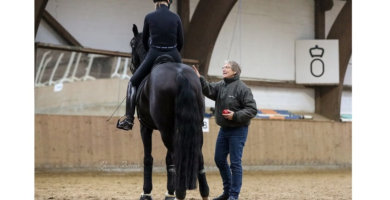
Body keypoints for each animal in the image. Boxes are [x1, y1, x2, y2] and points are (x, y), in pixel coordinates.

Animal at [128, 24, 209, 199]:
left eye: (132, 44)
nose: (132, 67)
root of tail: (180, 75)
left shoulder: (145, 127)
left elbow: (148, 158)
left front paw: (147, 192)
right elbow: (168, 159)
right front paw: (169, 191)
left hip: (166, 129)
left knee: (176, 155)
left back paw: (180, 191)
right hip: (195, 126)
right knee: (197, 153)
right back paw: (203, 192)